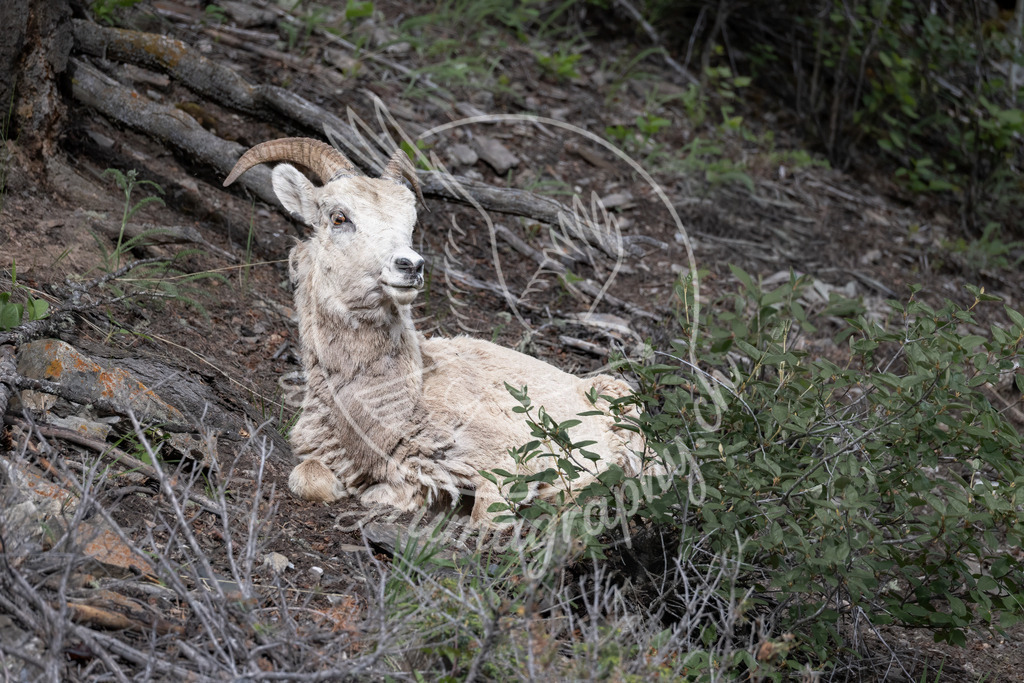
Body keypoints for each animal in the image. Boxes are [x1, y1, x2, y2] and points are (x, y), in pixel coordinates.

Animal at [224, 137, 647, 524]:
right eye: (339, 217)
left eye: (411, 223)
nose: (410, 265)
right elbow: (308, 478)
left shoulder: (507, 463)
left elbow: (485, 515)